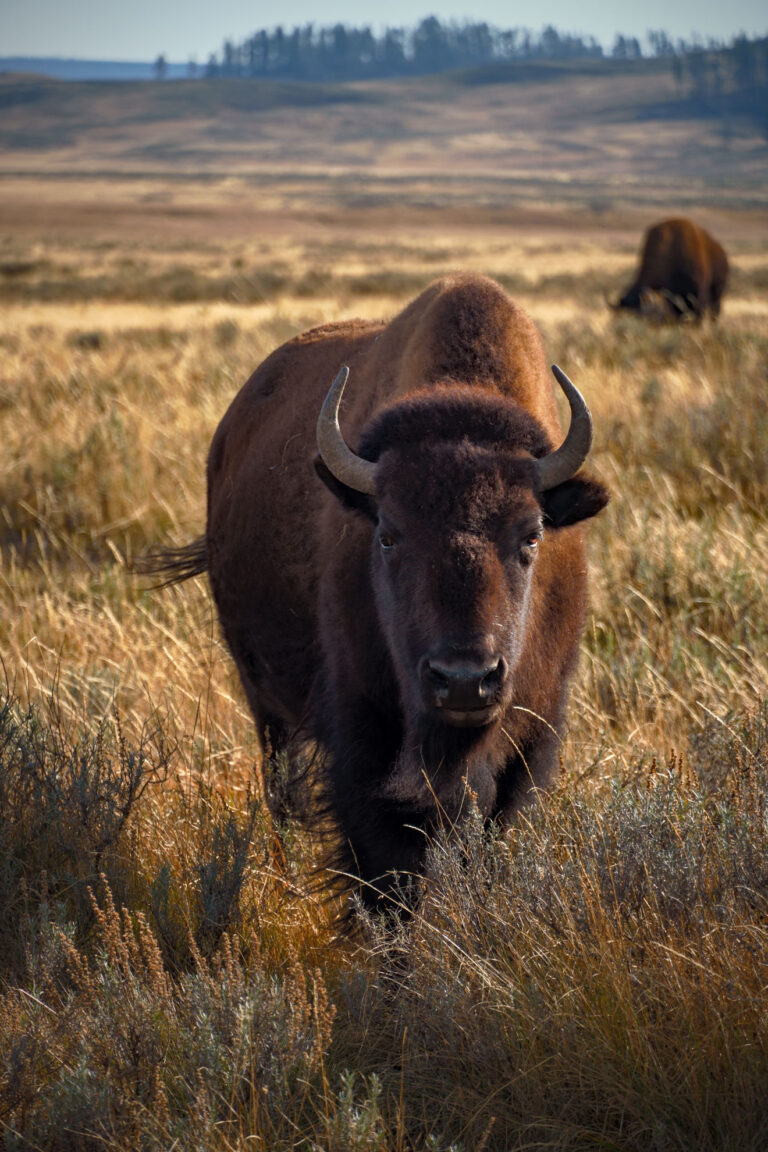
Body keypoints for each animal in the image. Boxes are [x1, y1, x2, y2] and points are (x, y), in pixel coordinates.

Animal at [153, 271, 607, 907]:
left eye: (532, 535)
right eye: (388, 535)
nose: (463, 679)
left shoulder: (529, 742)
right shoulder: (363, 738)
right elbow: (386, 871)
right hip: (262, 698)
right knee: (278, 785)